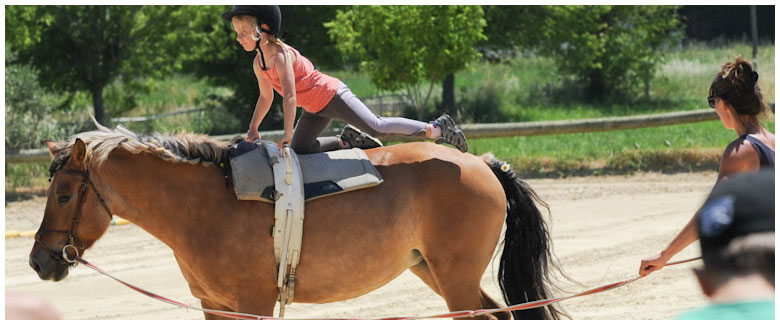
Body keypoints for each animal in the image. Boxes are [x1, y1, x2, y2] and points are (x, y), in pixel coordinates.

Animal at [29, 121, 560, 318]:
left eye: (64, 194)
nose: (38, 261)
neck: (204, 206)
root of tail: (483, 164)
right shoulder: (215, 307)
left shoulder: (253, 306)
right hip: (434, 270)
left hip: (454, 279)